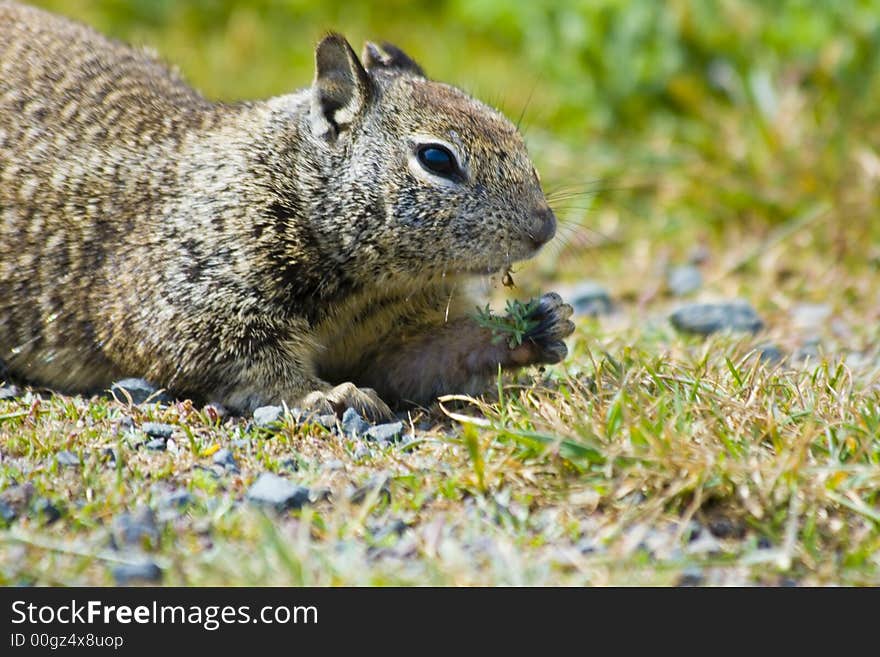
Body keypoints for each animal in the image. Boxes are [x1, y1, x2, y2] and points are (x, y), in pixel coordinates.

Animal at [0, 2, 576, 418]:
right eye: (437, 158)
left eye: (512, 132)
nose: (544, 228)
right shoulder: (192, 297)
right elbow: (246, 364)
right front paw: (328, 395)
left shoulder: (392, 330)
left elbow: (422, 360)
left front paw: (539, 324)